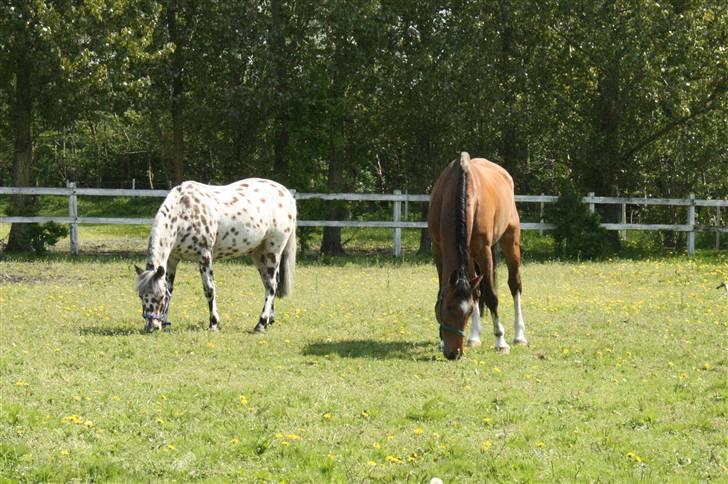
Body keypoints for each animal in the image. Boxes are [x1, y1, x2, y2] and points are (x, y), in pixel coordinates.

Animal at [135, 178, 298, 332]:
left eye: (160, 296)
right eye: (141, 296)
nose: (151, 326)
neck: (183, 213)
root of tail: (286, 194)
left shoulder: (204, 256)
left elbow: (209, 289)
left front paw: (213, 323)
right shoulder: (172, 260)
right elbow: (170, 287)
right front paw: (164, 323)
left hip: (272, 252)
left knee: (271, 286)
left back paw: (261, 324)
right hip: (259, 254)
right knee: (270, 283)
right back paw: (270, 319)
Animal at [430, 151, 528, 360]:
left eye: (466, 313)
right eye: (448, 308)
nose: (454, 353)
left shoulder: (484, 251)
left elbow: (491, 296)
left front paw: (500, 341)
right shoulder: (438, 249)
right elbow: (448, 290)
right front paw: (444, 341)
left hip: (510, 240)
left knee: (514, 285)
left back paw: (519, 336)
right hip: (471, 256)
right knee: (476, 289)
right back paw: (474, 337)